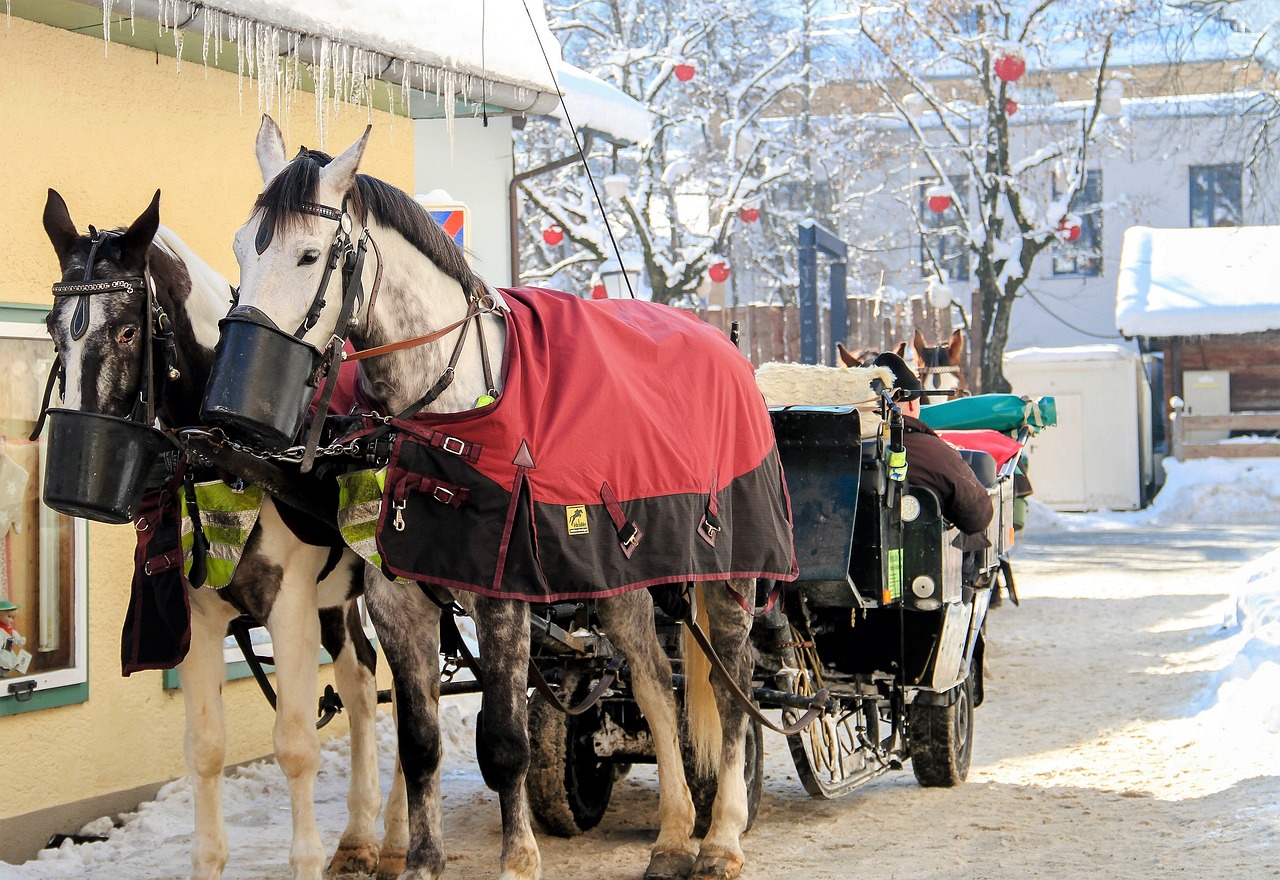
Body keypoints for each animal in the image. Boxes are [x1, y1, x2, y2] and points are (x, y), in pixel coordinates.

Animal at [40, 189, 407, 880]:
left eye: (127, 330)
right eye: (52, 327)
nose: (78, 483)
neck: (234, 453)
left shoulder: (289, 608)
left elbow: (294, 744)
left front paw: (305, 859)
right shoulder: (199, 618)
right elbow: (206, 749)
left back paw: (397, 832)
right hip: (340, 600)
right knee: (362, 683)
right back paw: (360, 836)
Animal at [204, 115, 793, 880]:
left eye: (309, 255)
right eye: (242, 247)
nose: (235, 408)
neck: (448, 412)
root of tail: (723, 344)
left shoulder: (502, 595)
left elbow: (507, 741)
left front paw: (518, 858)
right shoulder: (399, 601)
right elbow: (419, 743)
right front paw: (421, 860)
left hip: (727, 574)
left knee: (730, 687)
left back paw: (720, 837)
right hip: (619, 579)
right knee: (653, 682)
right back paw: (670, 836)